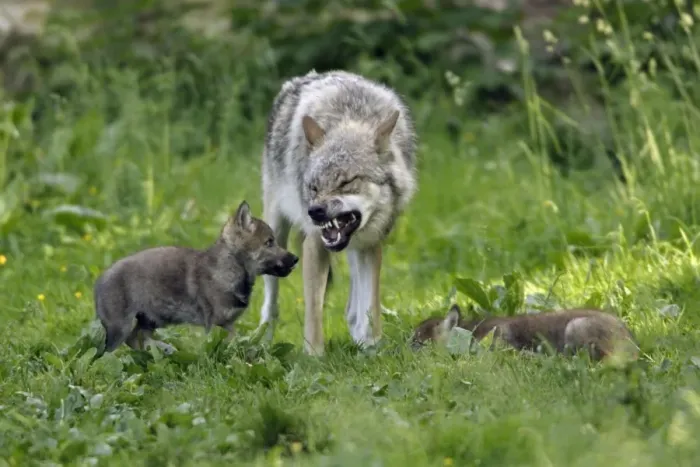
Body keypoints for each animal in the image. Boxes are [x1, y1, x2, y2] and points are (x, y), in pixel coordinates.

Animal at [94, 201, 298, 354]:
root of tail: (99, 281)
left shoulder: (228, 324)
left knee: (136, 340)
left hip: (149, 320)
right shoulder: (216, 323)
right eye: (269, 242)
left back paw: (162, 351)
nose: (296, 258)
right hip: (121, 327)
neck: (231, 268)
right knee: (111, 351)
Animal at [259, 70, 418, 355]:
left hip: (355, 250)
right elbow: (313, 314)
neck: (349, 116)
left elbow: (370, 307)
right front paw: (314, 357)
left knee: (353, 307)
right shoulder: (315, 244)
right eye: (314, 186)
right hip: (276, 234)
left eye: (346, 182)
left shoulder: (371, 245)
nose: (314, 211)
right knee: (270, 305)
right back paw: (263, 342)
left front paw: (372, 349)